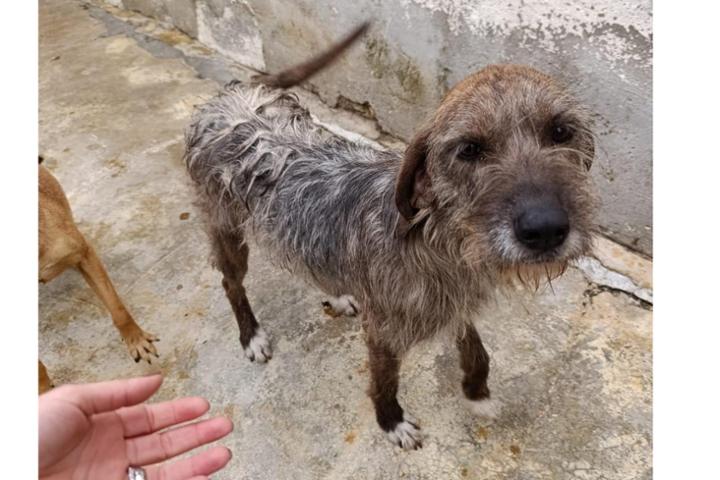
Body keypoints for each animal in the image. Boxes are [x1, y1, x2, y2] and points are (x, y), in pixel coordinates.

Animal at [185, 27, 596, 449]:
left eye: (561, 131)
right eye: (469, 149)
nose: (544, 229)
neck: (438, 239)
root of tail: (231, 97)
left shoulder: (453, 301)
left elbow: (476, 347)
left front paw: (476, 391)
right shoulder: (384, 329)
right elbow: (385, 380)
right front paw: (391, 421)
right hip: (226, 230)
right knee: (231, 283)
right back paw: (251, 335)